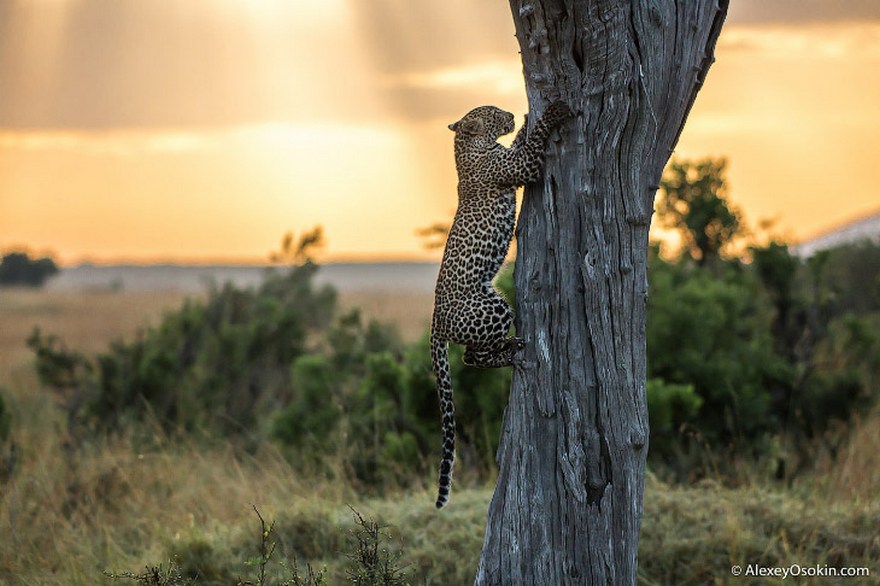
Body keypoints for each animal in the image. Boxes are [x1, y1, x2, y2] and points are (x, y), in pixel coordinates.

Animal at [432, 100, 572, 506]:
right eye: (492, 111)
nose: (509, 112)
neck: (466, 147)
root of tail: (435, 321)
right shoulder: (521, 167)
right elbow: (534, 143)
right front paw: (548, 113)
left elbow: (524, 141)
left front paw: (525, 121)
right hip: (490, 309)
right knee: (471, 357)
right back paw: (513, 352)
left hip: (493, 297)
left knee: (472, 354)